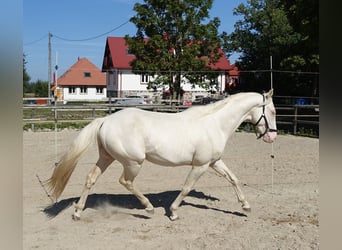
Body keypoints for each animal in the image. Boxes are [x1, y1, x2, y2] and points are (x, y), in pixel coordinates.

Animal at [46, 89, 276, 221]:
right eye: (273, 111)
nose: (272, 137)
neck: (215, 123)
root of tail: (106, 120)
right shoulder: (200, 165)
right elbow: (186, 188)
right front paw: (173, 212)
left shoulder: (214, 162)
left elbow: (233, 179)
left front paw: (245, 206)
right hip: (133, 162)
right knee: (125, 182)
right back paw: (149, 208)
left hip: (107, 158)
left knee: (90, 178)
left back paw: (78, 211)